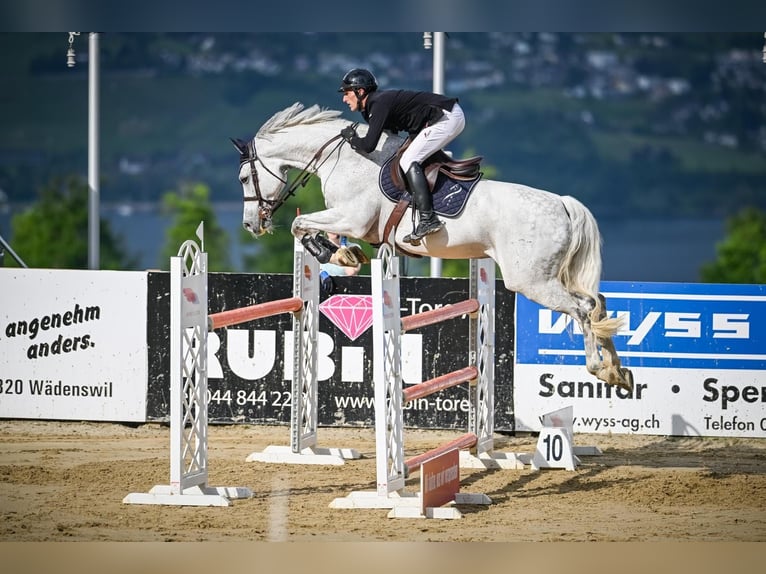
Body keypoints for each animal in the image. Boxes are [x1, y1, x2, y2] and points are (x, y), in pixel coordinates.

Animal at [236, 102, 636, 392]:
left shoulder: (351, 219)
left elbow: (300, 225)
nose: (252, 225)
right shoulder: (349, 221)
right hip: (548, 276)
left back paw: (599, 369)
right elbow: (305, 227)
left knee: (583, 308)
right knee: (598, 304)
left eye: (242, 178)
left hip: (531, 280)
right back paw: (619, 372)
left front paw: (333, 253)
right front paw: (342, 253)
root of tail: (563, 204)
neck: (344, 158)